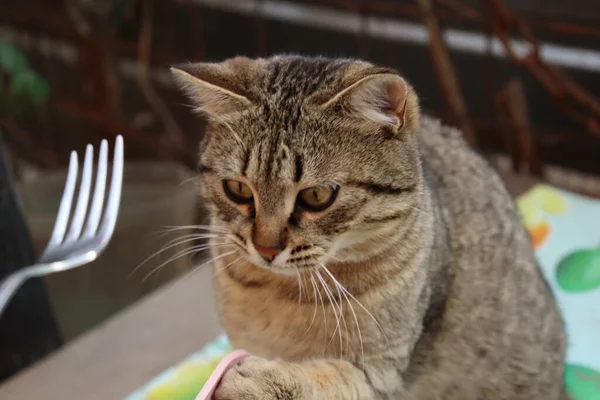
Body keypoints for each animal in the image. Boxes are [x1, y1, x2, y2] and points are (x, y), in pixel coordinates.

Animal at [170, 54, 568, 398]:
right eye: (237, 189)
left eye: (316, 196)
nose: (266, 248)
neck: (279, 293)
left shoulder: (383, 373)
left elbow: (329, 379)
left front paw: (263, 383)